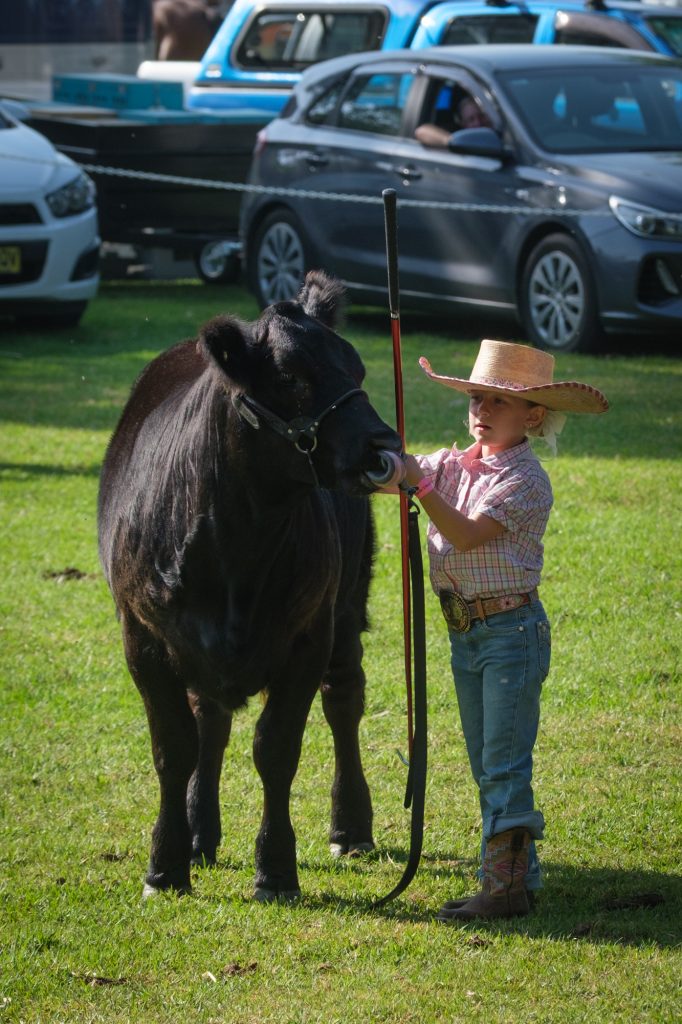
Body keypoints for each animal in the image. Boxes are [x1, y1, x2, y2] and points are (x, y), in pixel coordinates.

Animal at [98, 272, 402, 900]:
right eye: (290, 377)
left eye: (358, 369)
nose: (382, 445)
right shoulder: (143, 638)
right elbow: (174, 749)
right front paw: (165, 865)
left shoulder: (307, 637)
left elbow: (277, 749)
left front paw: (277, 870)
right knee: (209, 724)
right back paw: (198, 835)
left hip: (346, 607)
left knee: (344, 701)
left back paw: (350, 828)